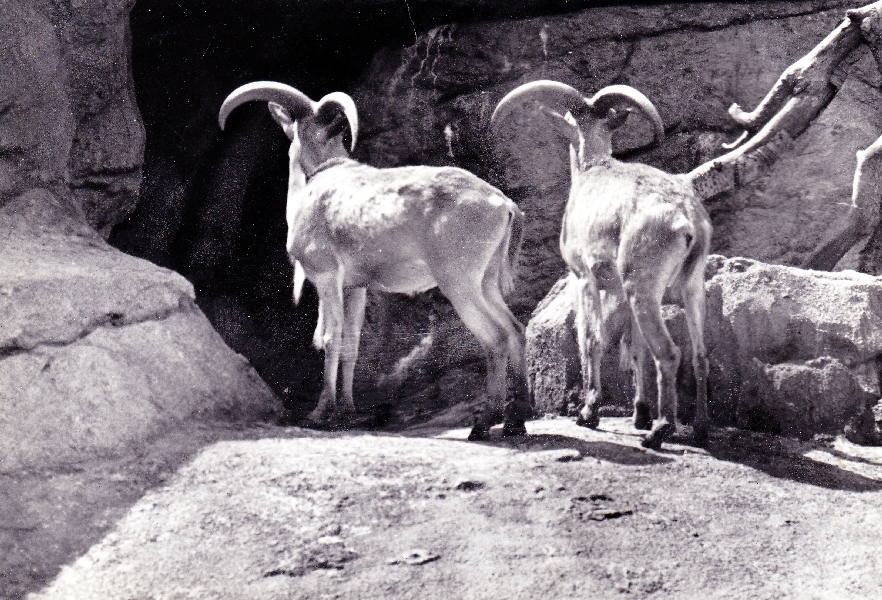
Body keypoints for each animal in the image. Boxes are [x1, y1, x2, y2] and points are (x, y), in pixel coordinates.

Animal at [219, 81, 530, 440]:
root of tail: (504, 204)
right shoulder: (356, 287)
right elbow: (352, 342)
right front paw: (349, 410)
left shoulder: (326, 276)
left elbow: (331, 337)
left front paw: (320, 413)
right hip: (486, 281)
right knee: (516, 329)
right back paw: (516, 421)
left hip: (460, 282)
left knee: (495, 338)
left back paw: (482, 424)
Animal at [492, 81, 712, 449]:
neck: (593, 168)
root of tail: (687, 219)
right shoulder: (619, 290)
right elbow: (635, 348)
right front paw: (639, 413)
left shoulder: (585, 278)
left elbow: (591, 338)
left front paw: (588, 412)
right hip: (691, 286)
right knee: (699, 354)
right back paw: (699, 430)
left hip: (643, 286)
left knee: (669, 353)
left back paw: (659, 431)